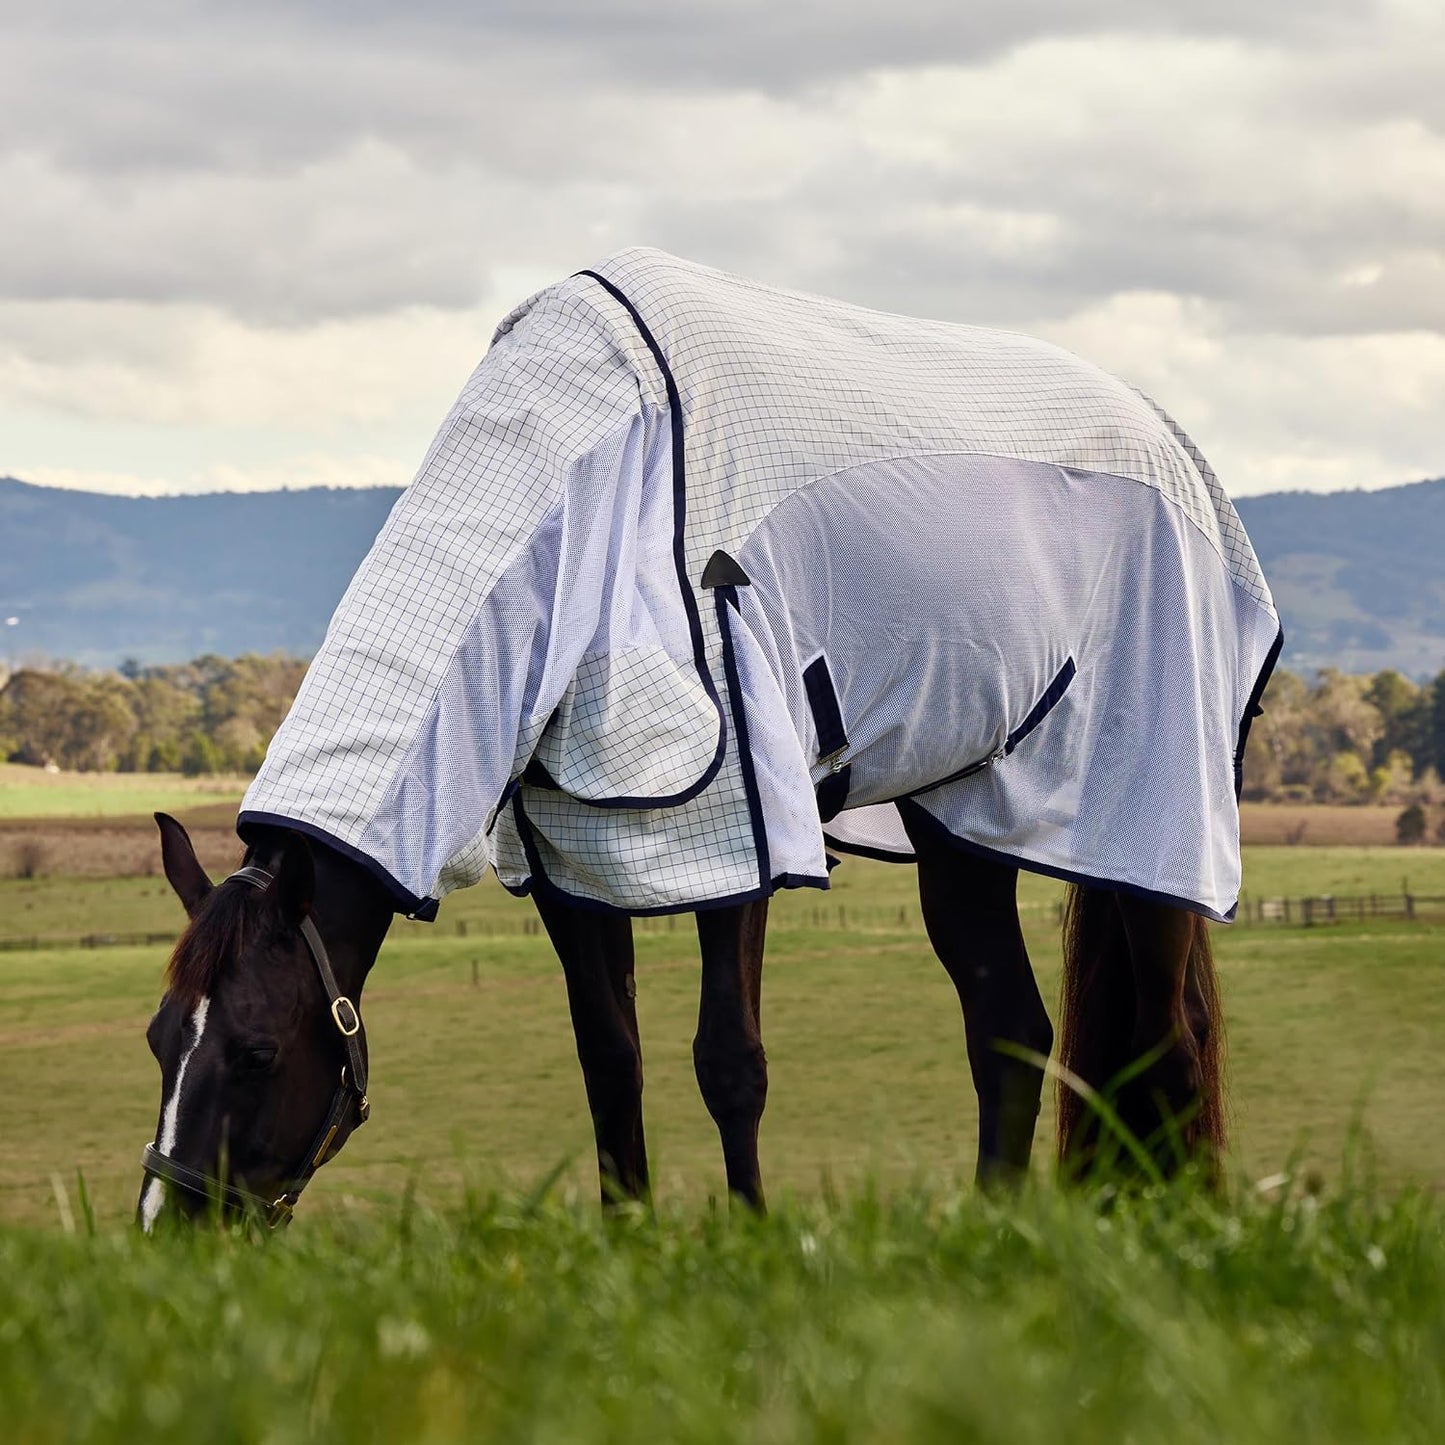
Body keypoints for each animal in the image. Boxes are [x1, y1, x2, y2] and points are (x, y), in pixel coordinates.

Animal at [137, 249, 1278, 1226]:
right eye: (158, 1039)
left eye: (251, 1049)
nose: (168, 1230)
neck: (592, 498)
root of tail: (1173, 444)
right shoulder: (566, 856)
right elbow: (610, 1056)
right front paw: (628, 1241)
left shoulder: (742, 831)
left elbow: (728, 1058)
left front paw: (751, 1237)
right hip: (964, 826)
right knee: (1011, 1031)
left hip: (1144, 821)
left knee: (1168, 1043)